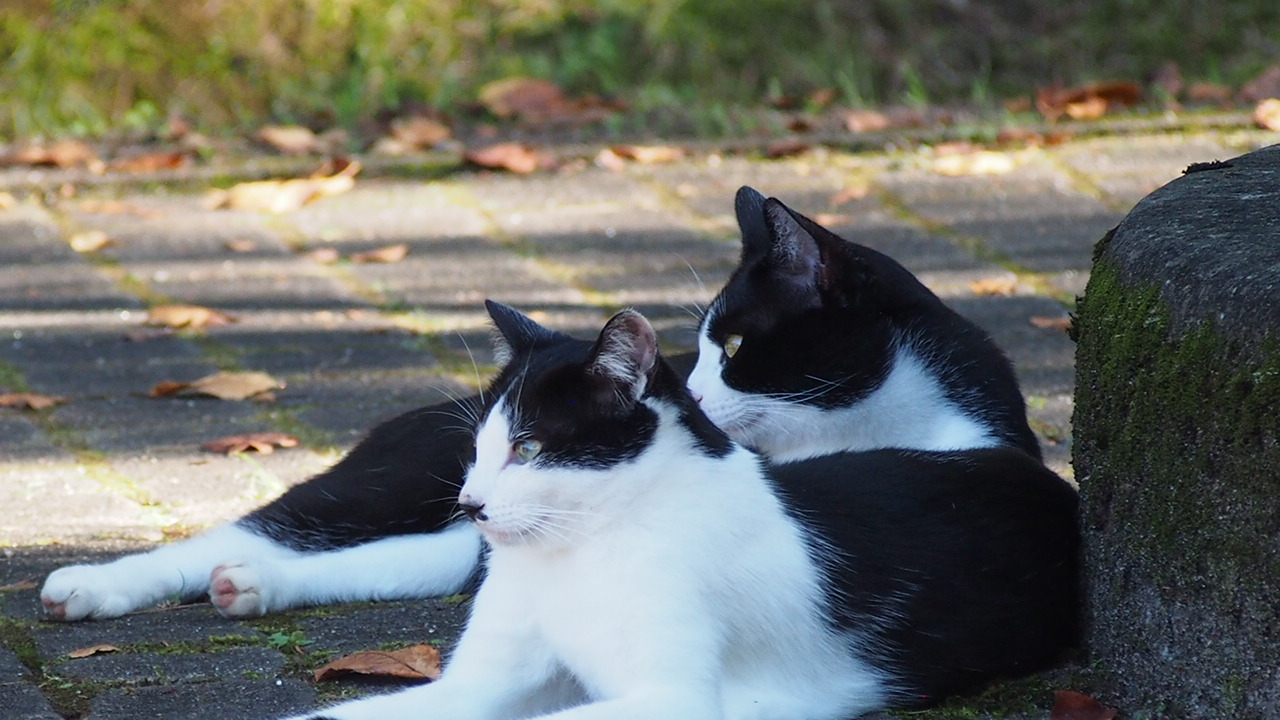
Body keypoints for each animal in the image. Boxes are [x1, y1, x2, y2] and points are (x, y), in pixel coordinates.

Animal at [40, 188, 1044, 620]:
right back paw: (92, 584)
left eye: (734, 350)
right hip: (399, 474)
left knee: (407, 561)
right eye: (702, 349)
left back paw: (247, 587)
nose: (688, 389)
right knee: (272, 525)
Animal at [282, 299, 1080, 717]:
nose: (469, 505)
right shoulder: (477, 683)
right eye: (476, 450)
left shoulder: (675, 698)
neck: (578, 551)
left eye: (530, 449)